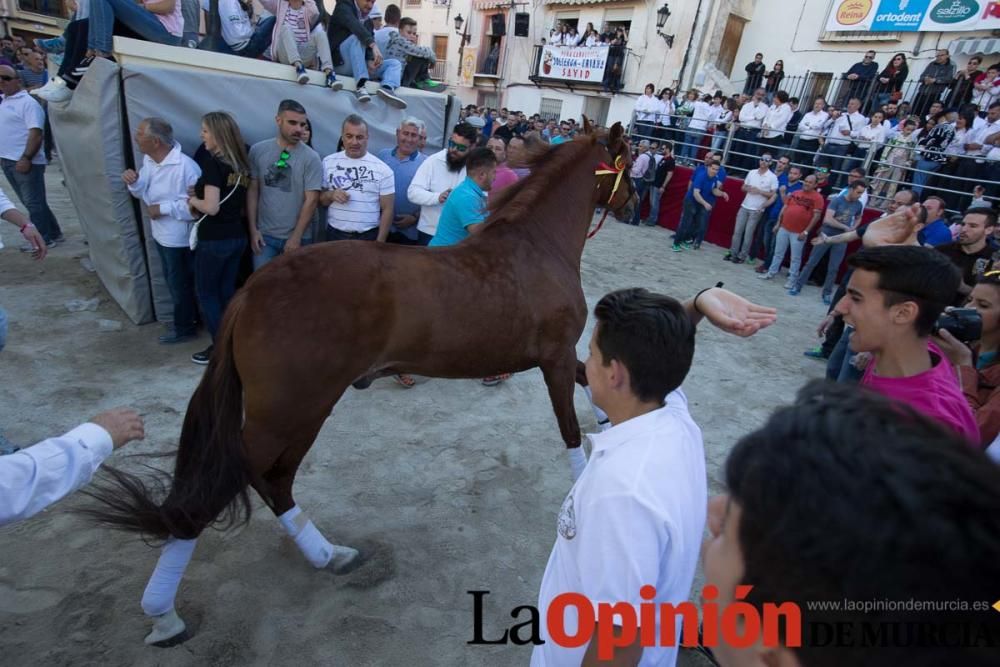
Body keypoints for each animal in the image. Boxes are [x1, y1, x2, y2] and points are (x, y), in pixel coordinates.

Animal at [84, 117, 632, 644]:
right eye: (626, 158)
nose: (631, 200)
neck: (536, 247)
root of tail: (252, 290)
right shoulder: (553, 359)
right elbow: (569, 429)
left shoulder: (557, 359)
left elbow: (591, 386)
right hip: (292, 411)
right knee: (227, 487)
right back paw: (165, 614)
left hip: (298, 413)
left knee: (271, 481)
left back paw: (329, 555)